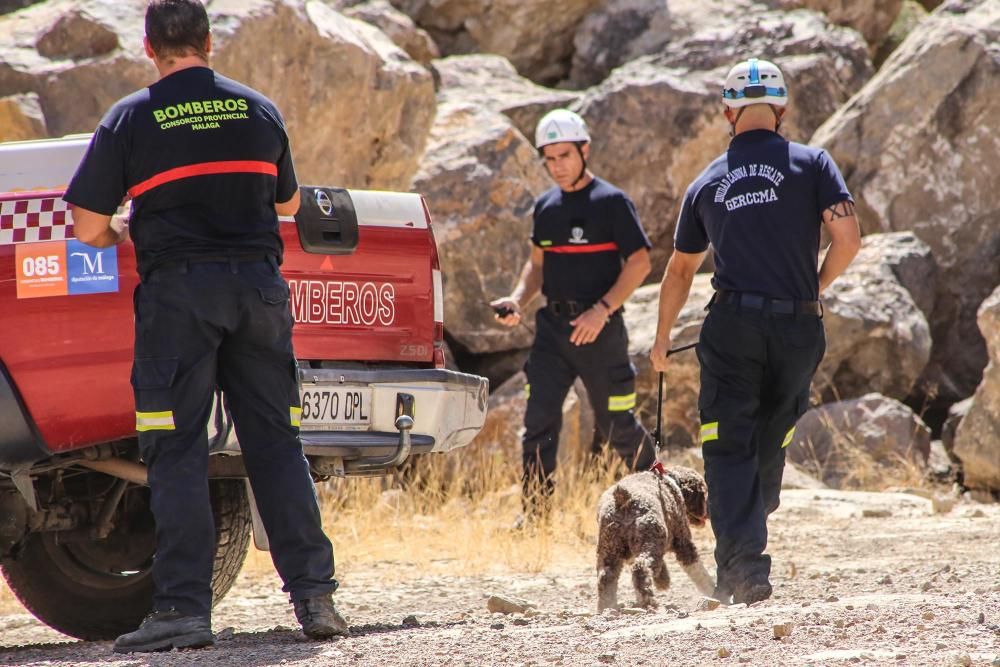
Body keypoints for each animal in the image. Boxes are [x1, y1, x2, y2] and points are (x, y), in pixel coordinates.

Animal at [596, 468, 716, 612]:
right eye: (704, 492)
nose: (709, 513)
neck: (671, 482)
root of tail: (623, 499)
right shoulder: (683, 541)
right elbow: (698, 571)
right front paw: (712, 591)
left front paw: (663, 581)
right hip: (650, 538)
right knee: (640, 568)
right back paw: (649, 602)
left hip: (610, 547)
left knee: (606, 577)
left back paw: (606, 606)